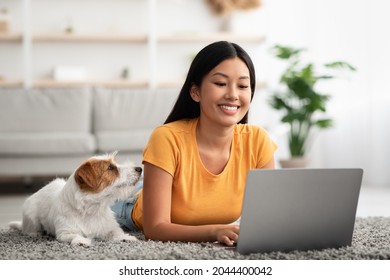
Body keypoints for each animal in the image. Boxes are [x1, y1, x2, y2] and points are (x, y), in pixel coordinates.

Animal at [9, 152, 142, 246]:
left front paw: (125, 237)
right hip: (31, 216)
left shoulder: (109, 227)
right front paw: (81, 241)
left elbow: (116, 232)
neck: (92, 209)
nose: (140, 168)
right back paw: (35, 233)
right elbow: (73, 235)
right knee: (29, 228)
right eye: (110, 168)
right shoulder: (65, 232)